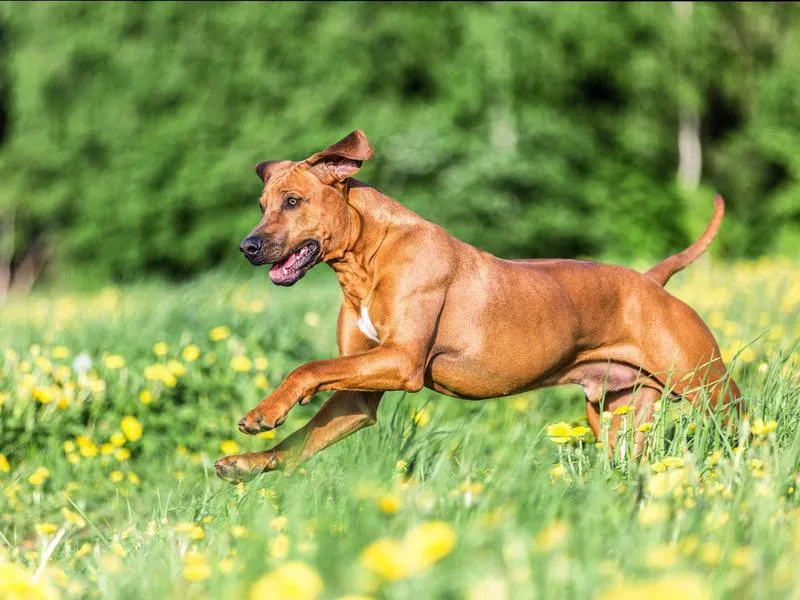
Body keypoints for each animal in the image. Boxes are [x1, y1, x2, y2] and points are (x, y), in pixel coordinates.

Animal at [212, 130, 736, 482]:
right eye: (261, 205)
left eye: (292, 201)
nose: (248, 247)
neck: (368, 257)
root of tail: (650, 281)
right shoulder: (358, 393)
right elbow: (302, 438)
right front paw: (249, 461)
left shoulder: (402, 360)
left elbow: (309, 367)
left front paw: (266, 410)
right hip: (616, 413)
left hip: (709, 390)